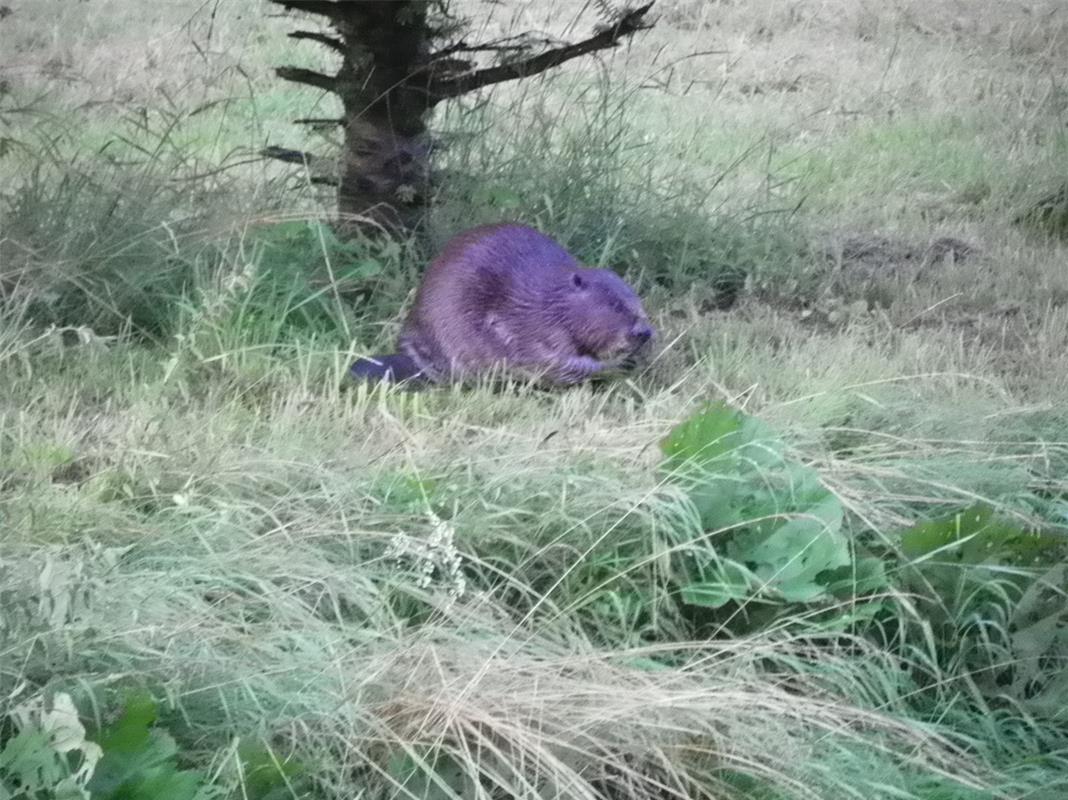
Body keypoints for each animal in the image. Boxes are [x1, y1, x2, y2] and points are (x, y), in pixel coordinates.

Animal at [350, 223, 649, 384]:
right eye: (615, 305)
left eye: (636, 300)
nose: (645, 332)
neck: (551, 302)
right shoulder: (533, 329)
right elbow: (555, 362)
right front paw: (613, 365)